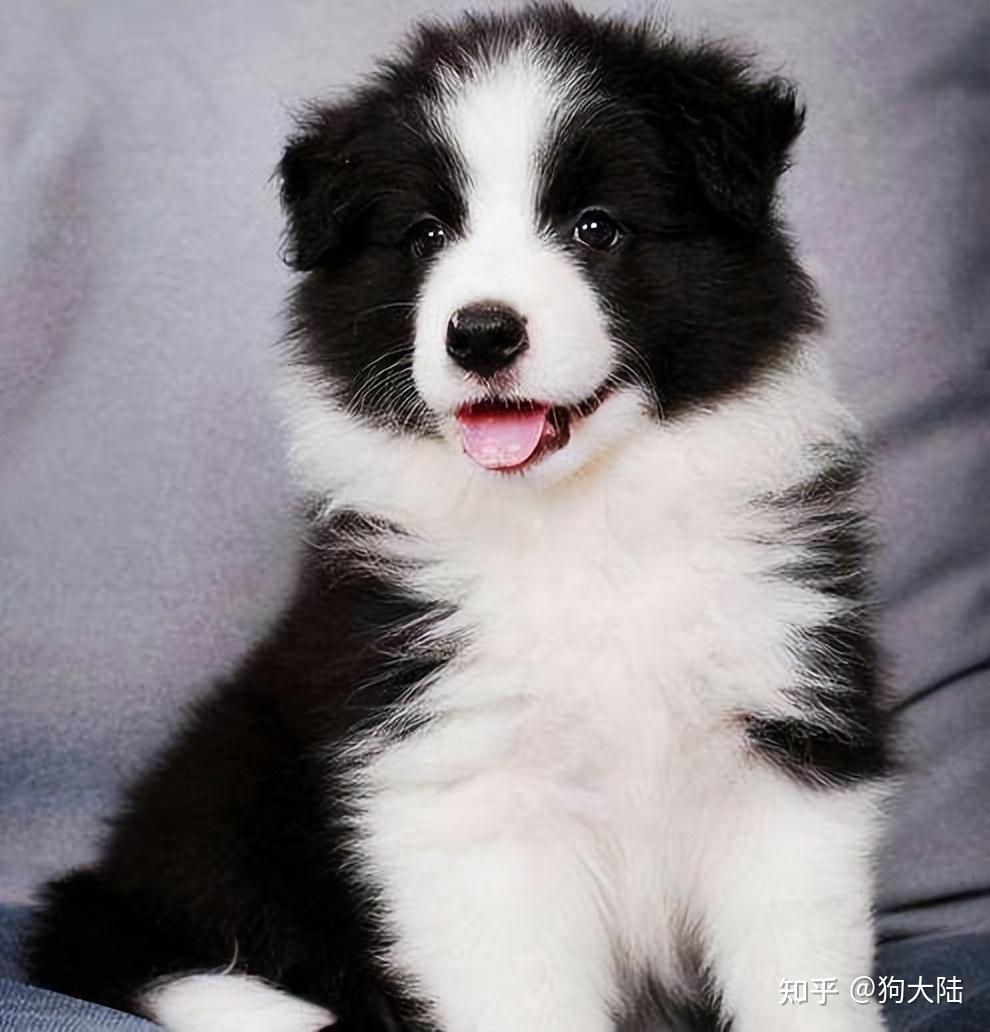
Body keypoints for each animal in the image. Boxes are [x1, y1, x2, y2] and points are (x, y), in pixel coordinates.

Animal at [27, 4, 890, 1030]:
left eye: (596, 227)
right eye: (425, 234)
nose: (481, 334)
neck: (579, 524)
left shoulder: (783, 743)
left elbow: (800, 963)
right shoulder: (463, 780)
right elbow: (526, 990)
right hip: (234, 778)